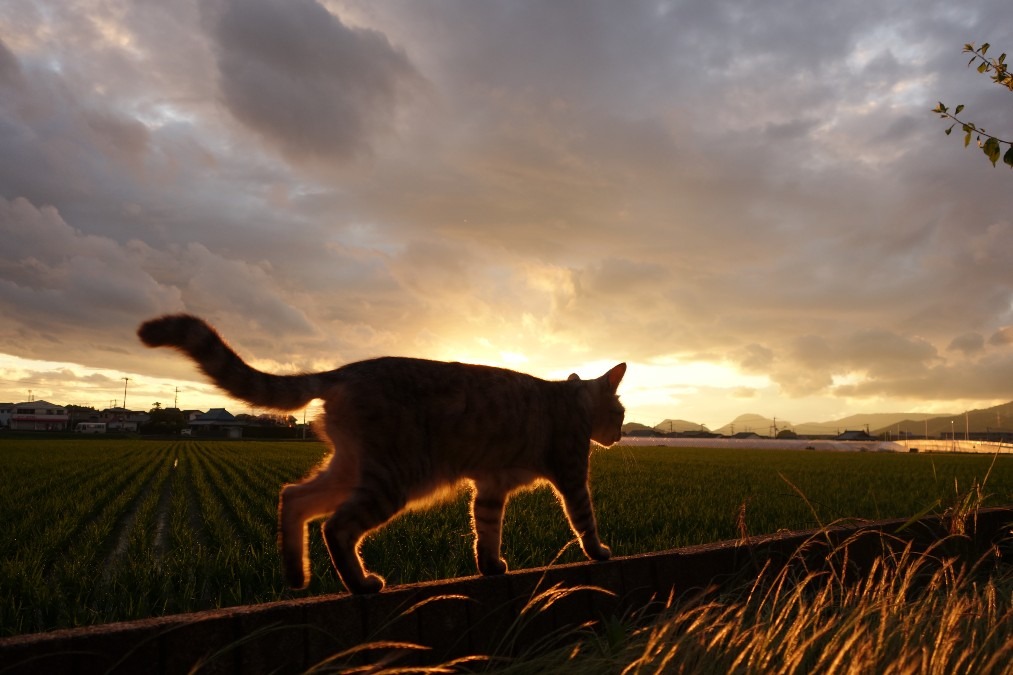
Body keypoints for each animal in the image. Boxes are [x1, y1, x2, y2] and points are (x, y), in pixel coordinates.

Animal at [134, 312, 624, 591]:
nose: (620, 434)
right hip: (395, 477)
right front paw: (599, 552)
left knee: (294, 496)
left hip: (353, 467)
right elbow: (584, 520)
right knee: (335, 526)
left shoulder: (489, 488)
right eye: (620, 411)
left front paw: (490, 565)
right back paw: (360, 584)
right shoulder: (571, 475)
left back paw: (297, 574)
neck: (571, 401)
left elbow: (486, 529)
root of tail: (344, 371)